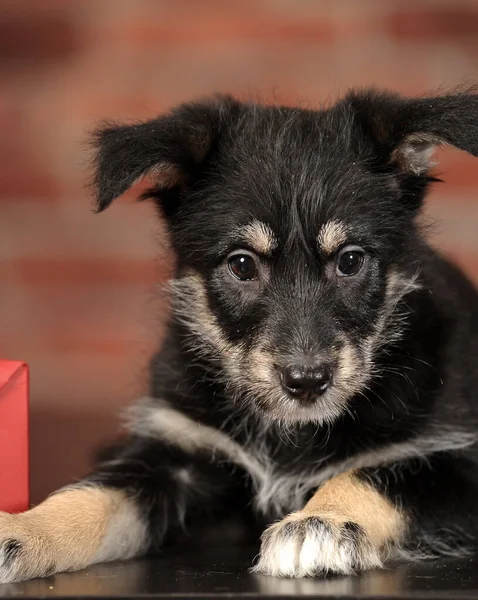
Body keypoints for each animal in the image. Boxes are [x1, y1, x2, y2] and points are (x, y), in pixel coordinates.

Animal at [0, 89, 478, 580]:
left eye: (350, 260)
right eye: (242, 264)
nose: (306, 381)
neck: (291, 433)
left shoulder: (456, 464)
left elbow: (375, 475)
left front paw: (320, 522)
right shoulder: (177, 454)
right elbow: (93, 494)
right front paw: (24, 527)